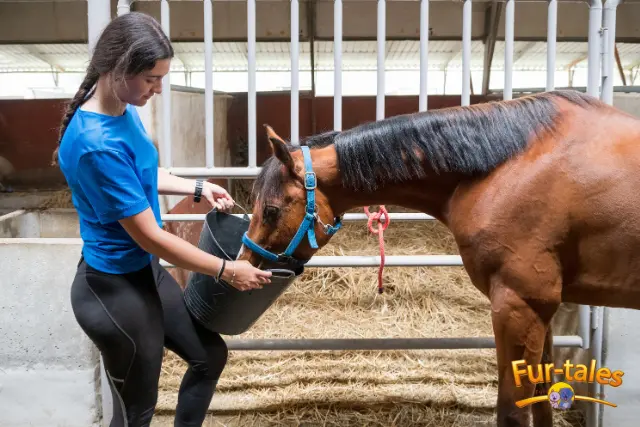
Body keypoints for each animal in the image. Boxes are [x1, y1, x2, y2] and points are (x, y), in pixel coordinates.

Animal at [237, 89, 640, 426]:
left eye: (270, 210)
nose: (246, 263)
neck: (505, 167)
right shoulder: (542, 310)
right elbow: (542, 403)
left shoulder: (519, 304)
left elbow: (512, 411)